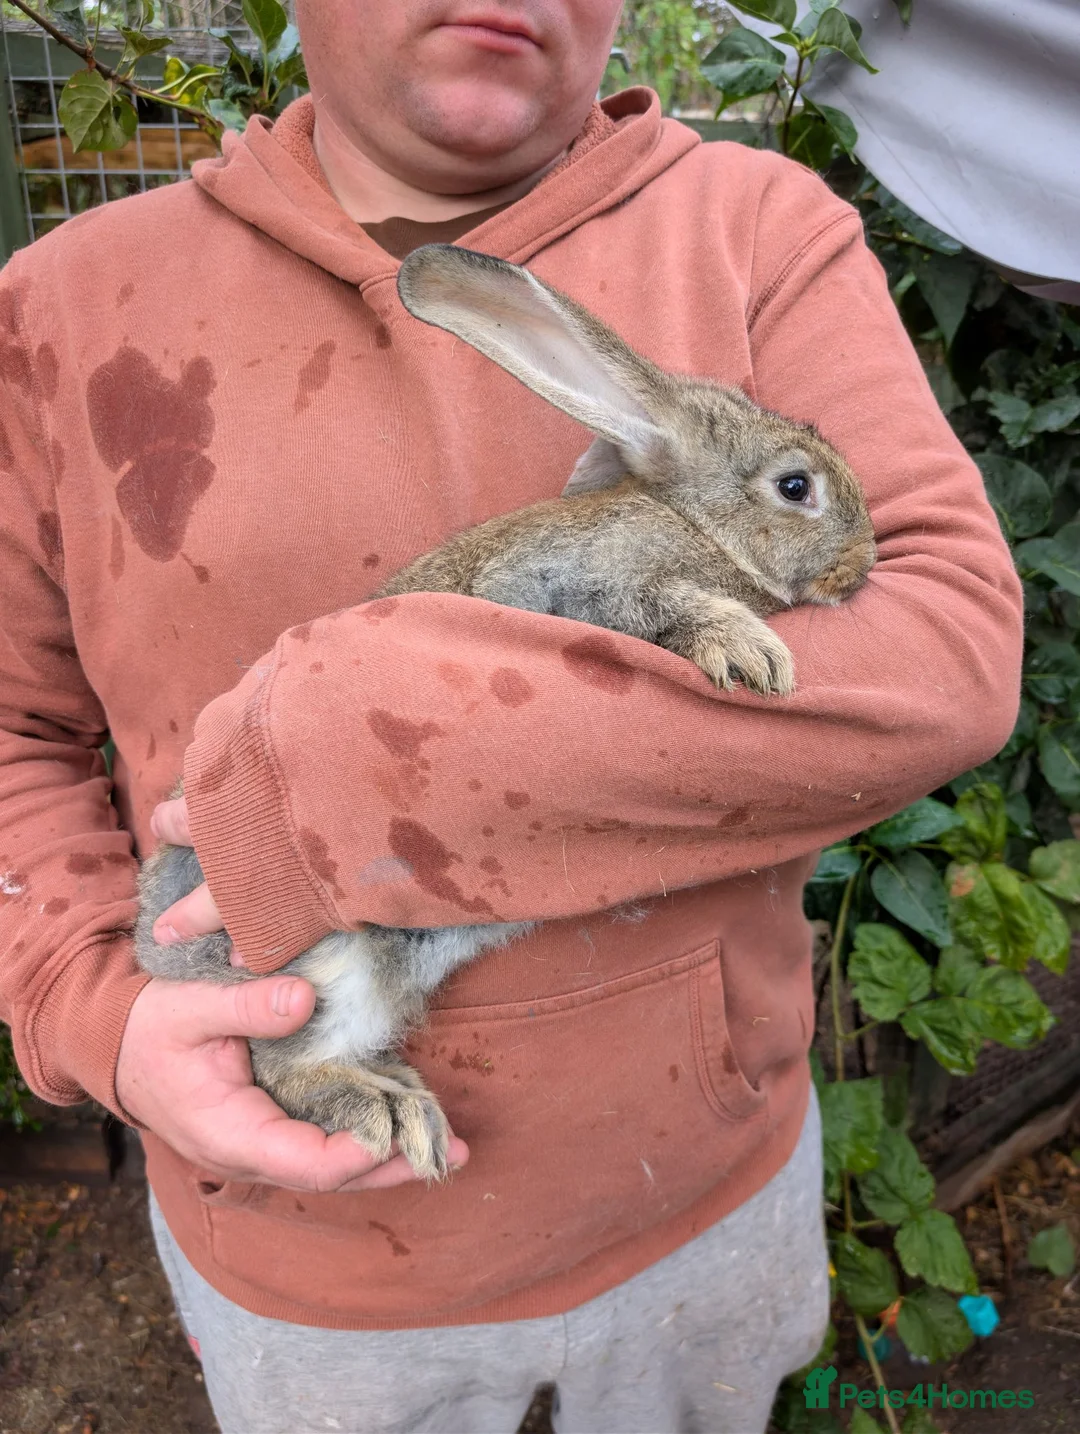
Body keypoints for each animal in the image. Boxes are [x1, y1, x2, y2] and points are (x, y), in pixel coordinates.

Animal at [135, 244, 876, 1181]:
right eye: (794, 486)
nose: (867, 562)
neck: (697, 527)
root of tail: (151, 953)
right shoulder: (580, 587)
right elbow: (665, 606)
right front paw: (752, 652)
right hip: (322, 964)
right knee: (279, 1064)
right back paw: (387, 1115)